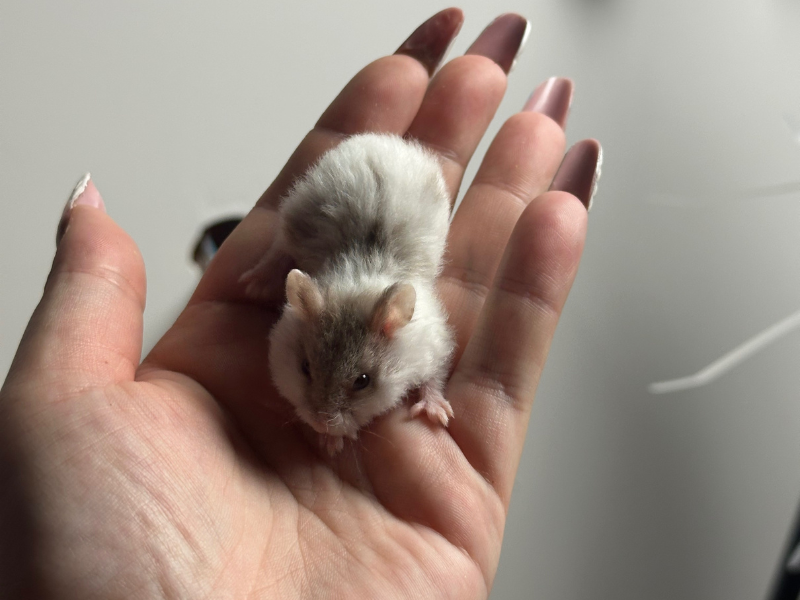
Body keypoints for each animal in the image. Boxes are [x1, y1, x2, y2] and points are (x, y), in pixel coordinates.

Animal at [241, 133, 455, 454]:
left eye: (363, 381)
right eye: (305, 367)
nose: (320, 424)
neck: (355, 287)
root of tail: (378, 139)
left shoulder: (435, 345)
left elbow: (434, 377)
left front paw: (437, 416)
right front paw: (331, 443)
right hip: (292, 217)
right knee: (278, 250)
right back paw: (253, 285)